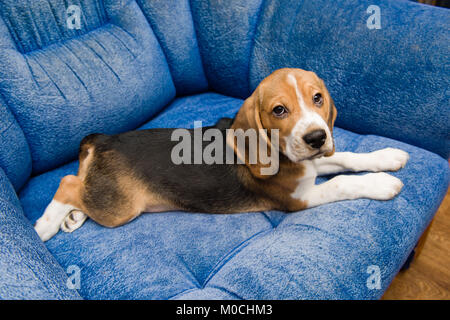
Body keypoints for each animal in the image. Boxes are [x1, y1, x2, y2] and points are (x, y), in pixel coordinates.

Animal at [35, 68, 408, 242]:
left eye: (317, 98)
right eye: (279, 110)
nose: (317, 137)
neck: (287, 155)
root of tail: (104, 140)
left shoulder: (312, 161)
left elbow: (347, 158)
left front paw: (387, 157)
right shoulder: (299, 198)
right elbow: (342, 182)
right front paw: (382, 183)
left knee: (80, 185)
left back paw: (72, 217)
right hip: (121, 209)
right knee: (67, 182)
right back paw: (43, 227)